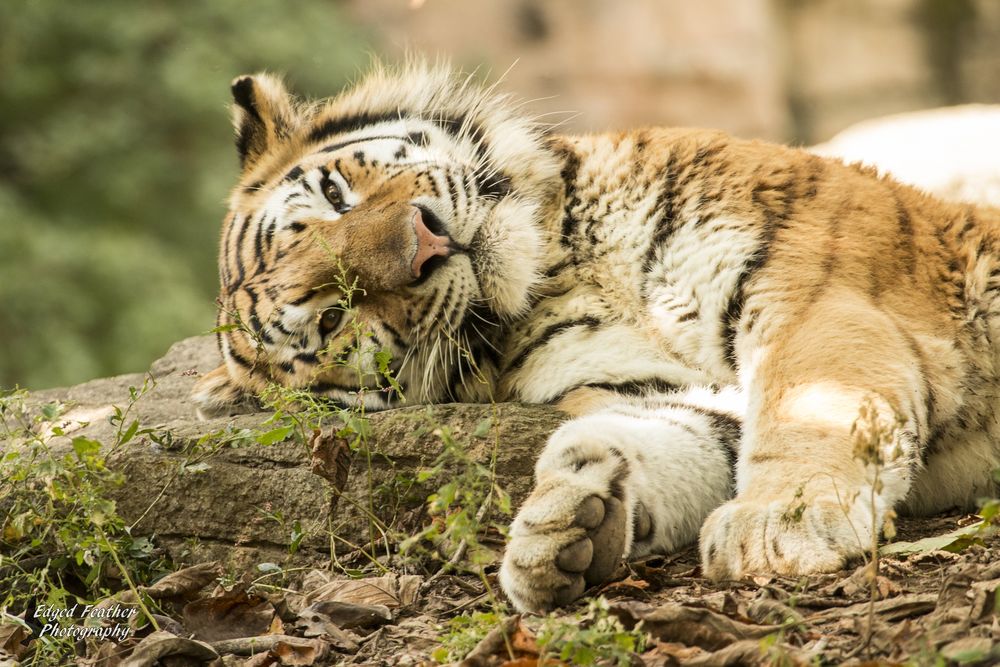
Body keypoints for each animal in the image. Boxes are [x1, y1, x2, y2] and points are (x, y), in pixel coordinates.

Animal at [192, 62, 1000, 613]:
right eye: (333, 317)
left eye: (334, 195)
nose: (424, 244)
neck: (559, 265)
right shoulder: (666, 388)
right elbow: (679, 435)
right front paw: (566, 523)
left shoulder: (817, 295)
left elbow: (810, 407)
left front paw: (780, 523)